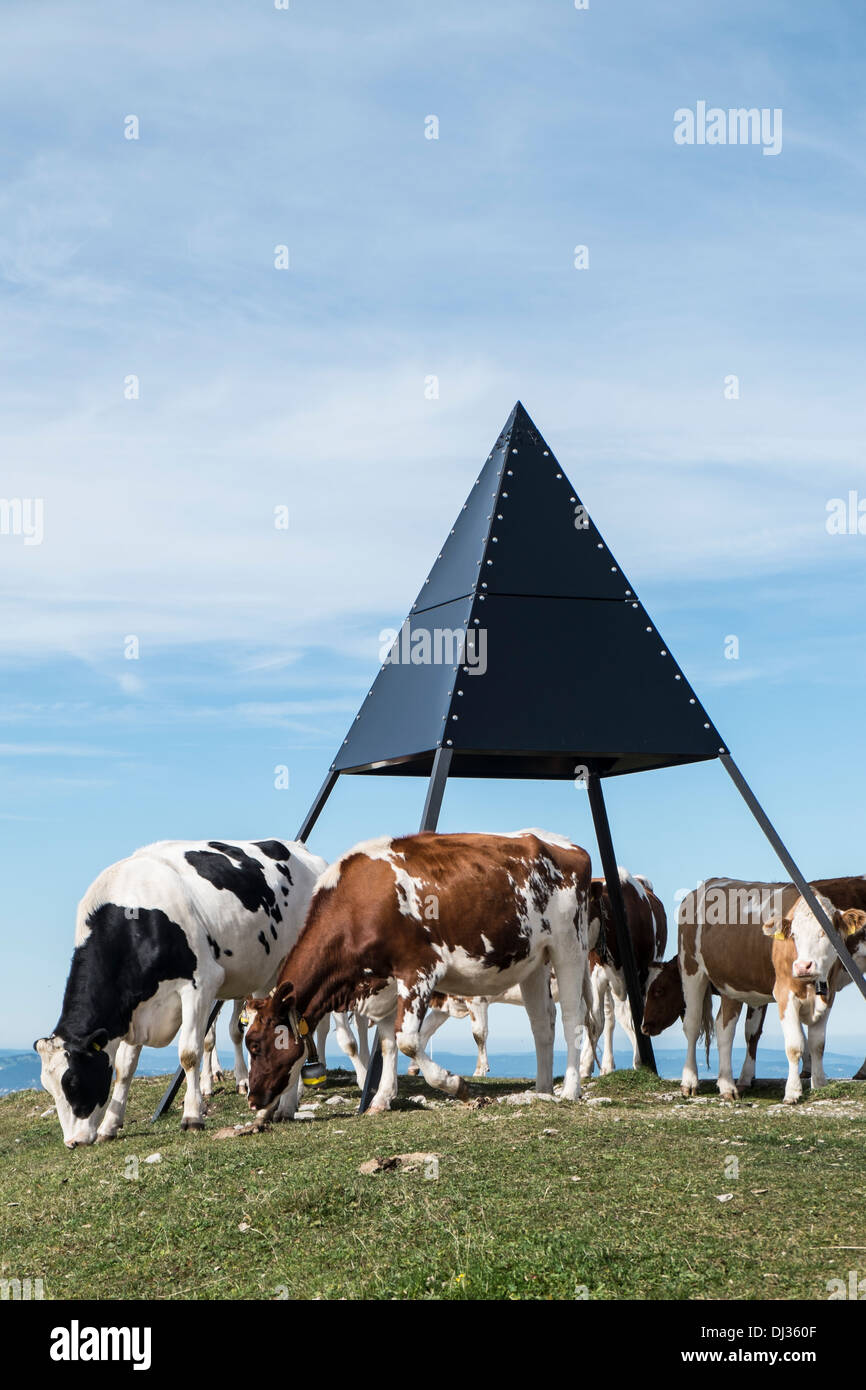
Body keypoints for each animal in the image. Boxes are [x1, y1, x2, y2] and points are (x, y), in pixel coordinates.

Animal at [34, 834, 328, 1150]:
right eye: (49, 1088)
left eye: (74, 1082)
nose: (73, 1142)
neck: (137, 917)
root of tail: (301, 850)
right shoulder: (134, 1007)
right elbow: (125, 1067)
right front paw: (110, 1125)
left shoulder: (201, 983)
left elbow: (189, 1053)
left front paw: (192, 1116)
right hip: (266, 975)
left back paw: (287, 1104)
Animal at [246, 828, 594, 1112]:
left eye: (256, 1045)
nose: (253, 1098)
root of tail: (568, 845)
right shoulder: (386, 980)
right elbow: (387, 1042)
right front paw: (382, 1099)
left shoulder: (420, 970)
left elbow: (407, 1041)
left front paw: (455, 1084)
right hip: (534, 959)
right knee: (542, 1023)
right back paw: (543, 1088)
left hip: (570, 946)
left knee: (573, 1018)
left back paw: (570, 1089)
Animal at [639, 872, 866, 1100]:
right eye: (794, 935)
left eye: (825, 933)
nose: (803, 966)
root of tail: (706, 885)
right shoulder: (783, 994)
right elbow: (793, 1044)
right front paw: (792, 1091)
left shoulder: (826, 995)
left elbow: (816, 1044)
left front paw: (818, 1084)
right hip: (692, 970)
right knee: (693, 1025)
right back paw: (691, 1081)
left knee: (724, 1030)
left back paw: (726, 1084)